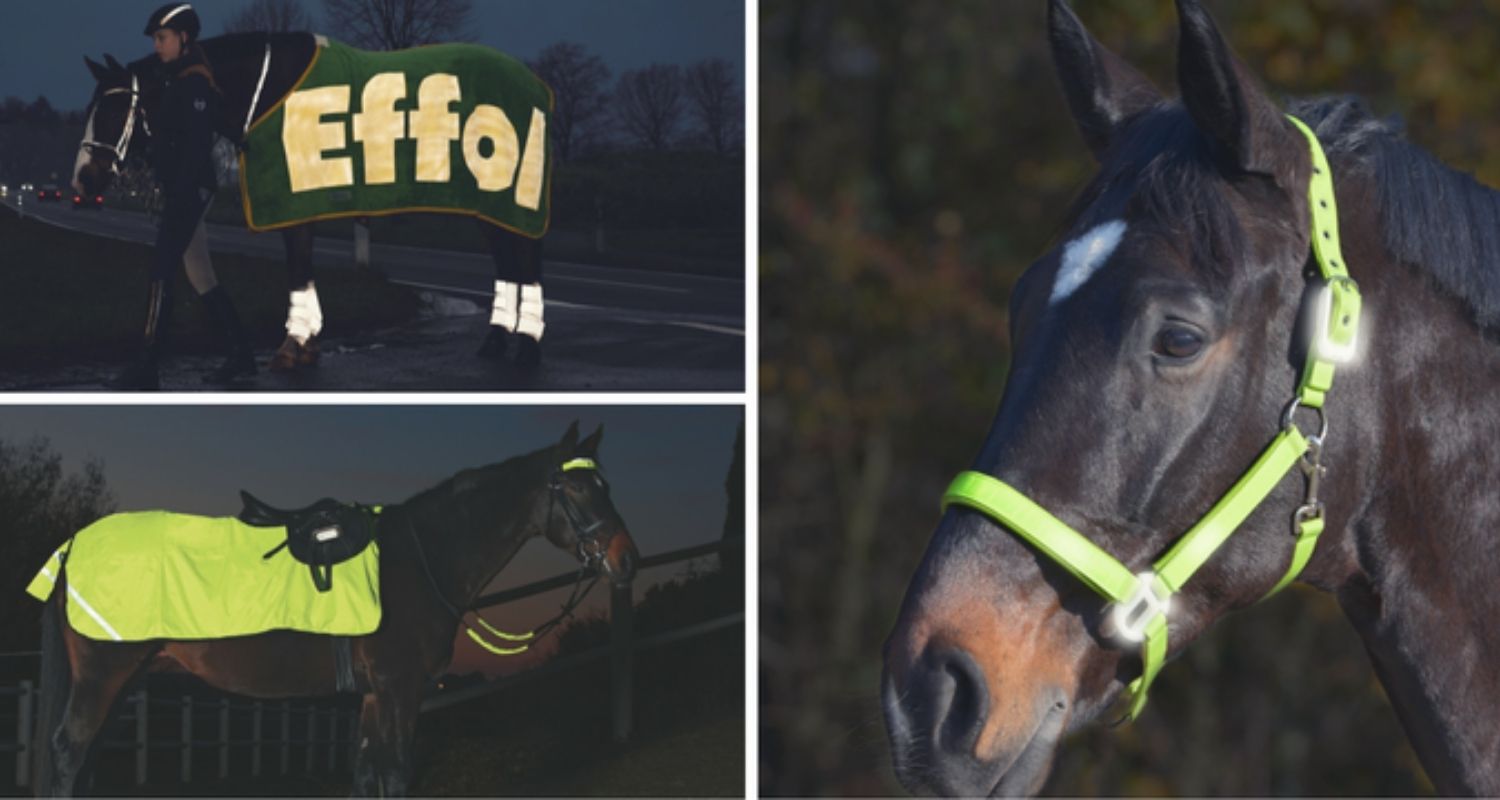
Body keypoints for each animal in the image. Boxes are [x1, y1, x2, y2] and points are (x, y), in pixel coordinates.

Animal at [30, 420, 639, 792]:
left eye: (606, 486)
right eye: (578, 489)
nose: (627, 559)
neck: (421, 556)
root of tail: (72, 546)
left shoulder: (374, 696)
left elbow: (368, 776)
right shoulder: (399, 689)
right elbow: (395, 774)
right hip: (103, 678)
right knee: (69, 755)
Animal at [71, 32, 552, 375]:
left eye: (112, 112)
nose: (83, 178)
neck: (269, 91)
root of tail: (533, 82)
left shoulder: (291, 201)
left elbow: (298, 269)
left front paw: (292, 347)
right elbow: (301, 270)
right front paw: (305, 346)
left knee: (526, 255)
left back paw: (528, 346)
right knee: (506, 257)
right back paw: (495, 341)